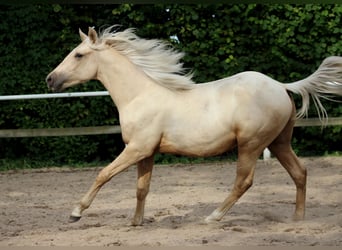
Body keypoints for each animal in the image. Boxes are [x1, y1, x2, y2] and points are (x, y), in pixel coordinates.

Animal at [46, 26, 342, 226]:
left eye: (79, 55)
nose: (50, 79)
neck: (139, 95)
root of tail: (280, 86)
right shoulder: (146, 152)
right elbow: (142, 188)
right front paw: (136, 222)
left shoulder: (136, 148)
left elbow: (103, 174)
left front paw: (75, 212)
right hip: (279, 142)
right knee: (300, 172)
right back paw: (297, 219)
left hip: (251, 144)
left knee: (244, 181)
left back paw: (213, 217)